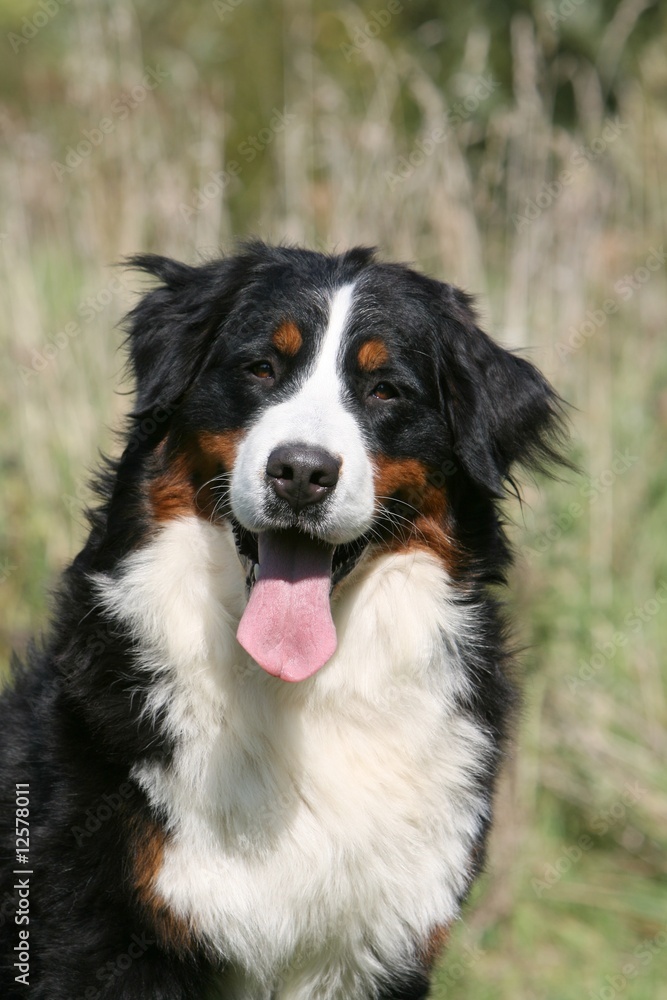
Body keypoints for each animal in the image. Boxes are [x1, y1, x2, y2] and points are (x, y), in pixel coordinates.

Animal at [0, 242, 568, 1000]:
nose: (300, 471)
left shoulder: (376, 946)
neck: (295, 690)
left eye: (385, 390)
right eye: (261, 368)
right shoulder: (103, 935)